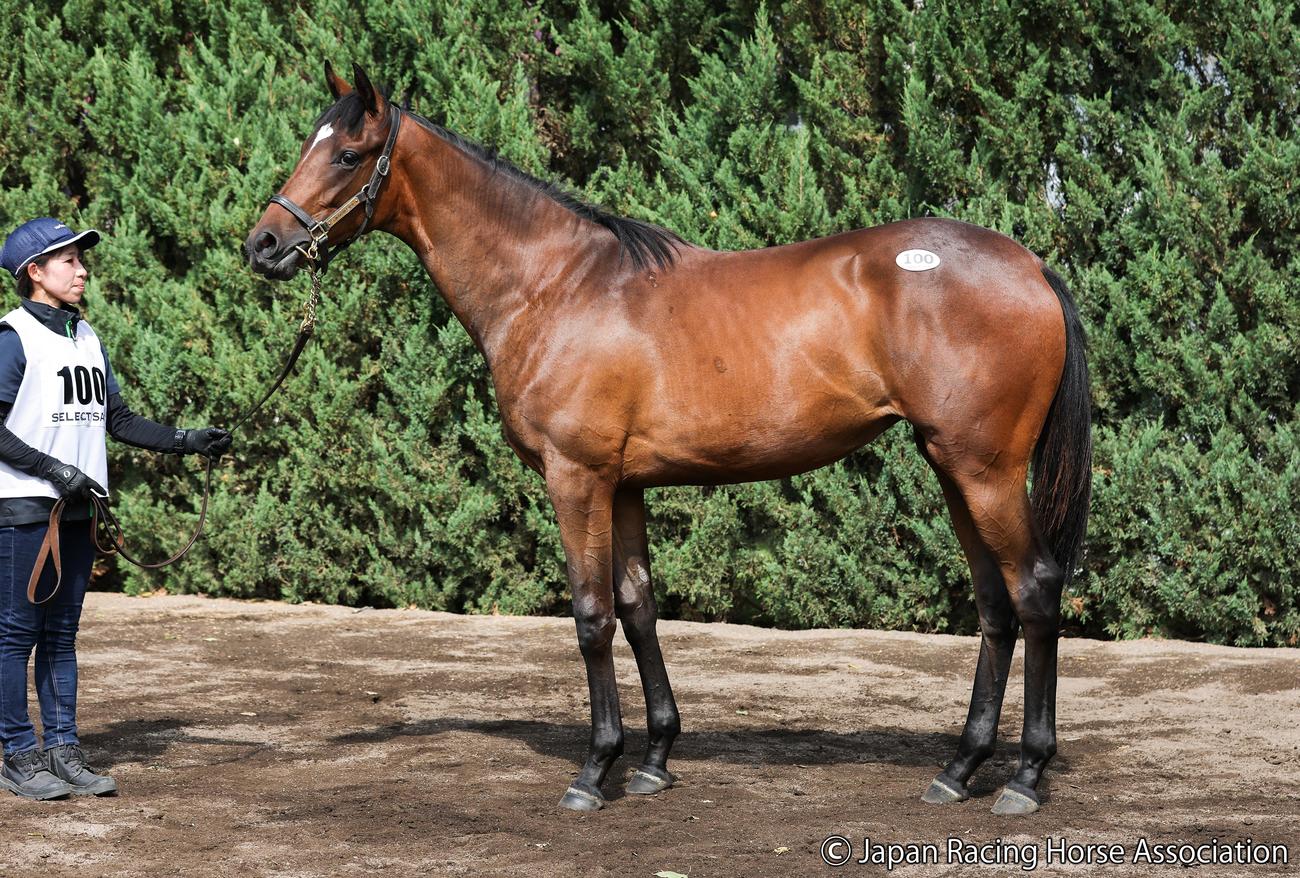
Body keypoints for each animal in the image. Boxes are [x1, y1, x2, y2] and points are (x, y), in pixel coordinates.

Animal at [245, 63, 1092, 817]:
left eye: (348, 154)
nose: (264, 245)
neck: (555, 286)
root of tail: (1031, 267)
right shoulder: (623, 485)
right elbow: (638, 607)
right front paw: (653, 758)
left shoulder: (576, 477)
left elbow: (591, 616)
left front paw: (595, 771)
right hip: (952, 467)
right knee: (995, 604)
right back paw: (960, 768)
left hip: (985, 471)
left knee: (1035, 589)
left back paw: (1025, 778)